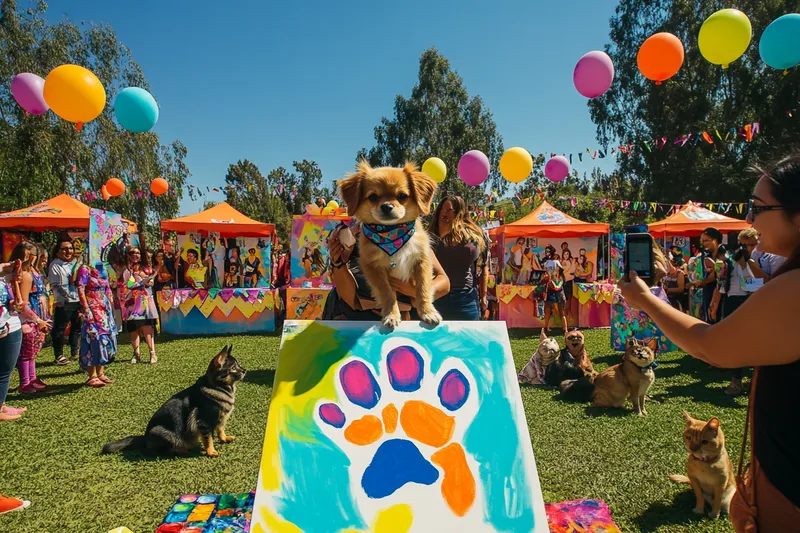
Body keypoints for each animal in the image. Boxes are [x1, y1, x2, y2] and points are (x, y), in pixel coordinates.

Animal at [336, 158, 440, 326]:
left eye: (402, 196)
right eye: (372, 197)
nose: (387, 206)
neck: (392, 233)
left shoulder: (422, 260)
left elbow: (423, 288)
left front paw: (427, 312)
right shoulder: (372, 266)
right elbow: (387, 293)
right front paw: (391, 314)